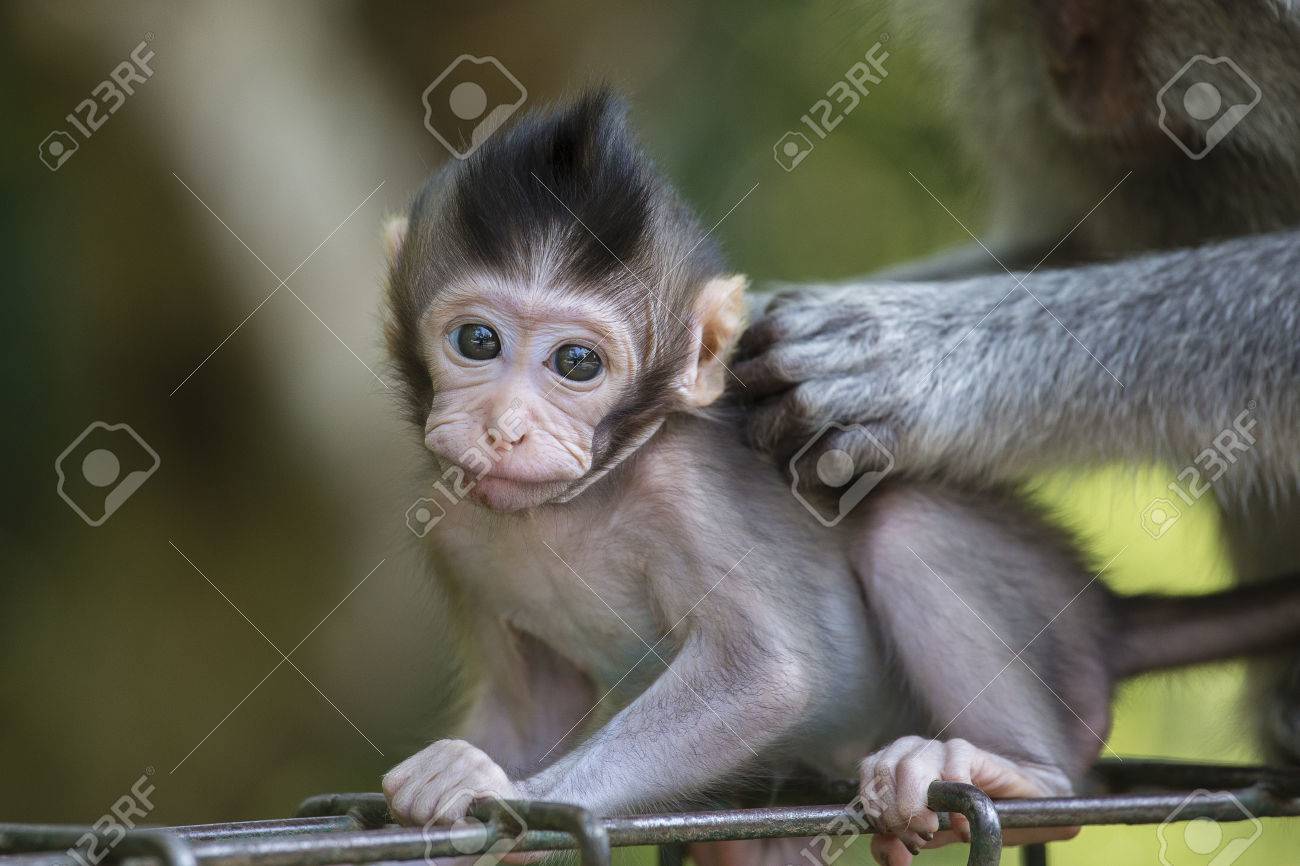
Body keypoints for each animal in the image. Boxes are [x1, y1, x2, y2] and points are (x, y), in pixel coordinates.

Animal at [378, 90, 1300, 866]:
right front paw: (459, 778)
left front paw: (507, 791)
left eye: (576, 363)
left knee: (911, 530)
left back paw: (1025, 774)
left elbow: (767, 674)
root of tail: (1104, 613)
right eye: (477, 342)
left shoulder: (683, 495)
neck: (577, 499)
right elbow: (534, 704)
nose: (505, 427)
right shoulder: (448, 521)